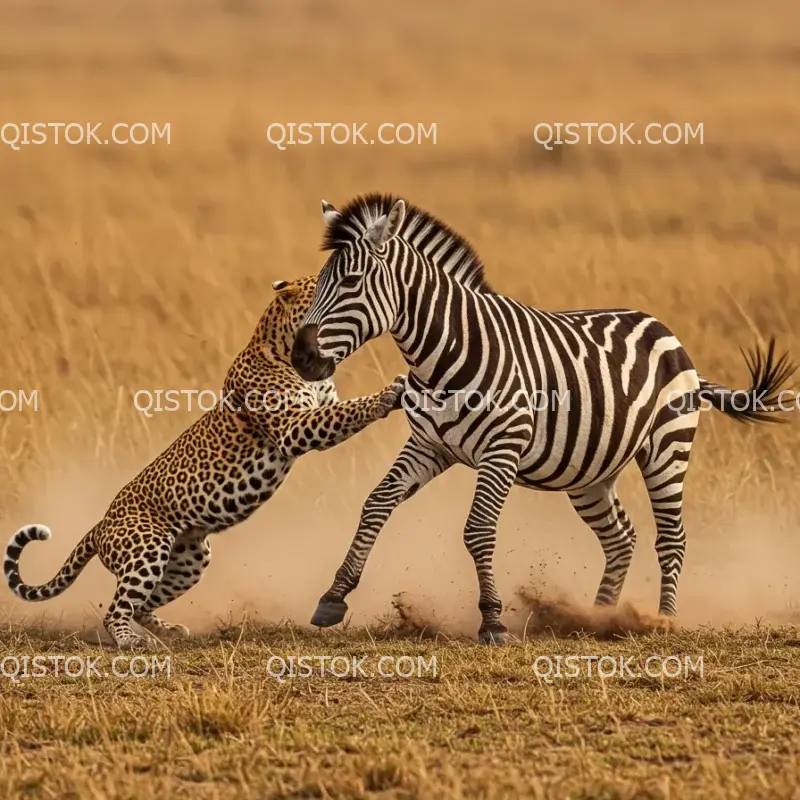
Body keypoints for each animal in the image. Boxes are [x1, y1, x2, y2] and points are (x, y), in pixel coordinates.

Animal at [4, 276, 406, 648]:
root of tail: (100, 525)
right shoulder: (294, 428)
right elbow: (346, 412)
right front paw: (388, 394)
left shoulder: (319, 405)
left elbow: (341, 409)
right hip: (148, 549)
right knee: (117, 608)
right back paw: (132, 641)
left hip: (190, 559)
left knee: (142, 605)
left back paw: (171, 631)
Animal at [290, 192, 796, 644]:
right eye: (318, 282)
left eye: (352, 281)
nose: (301, 358)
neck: (443, 355)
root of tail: (664, 328)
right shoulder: (429, 445)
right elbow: (376, 502)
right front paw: (333, 597)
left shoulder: (502, 450)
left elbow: (478, 530)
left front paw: (492, 621)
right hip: (591, 472)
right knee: (621, 537)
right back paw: (598, 618)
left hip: (668, 448)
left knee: (671, 537)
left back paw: (663, 622)